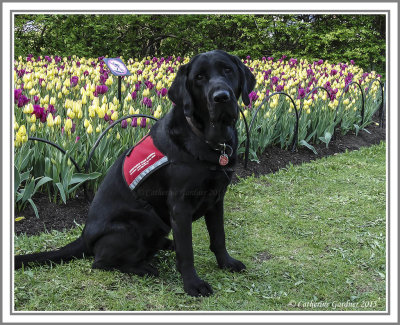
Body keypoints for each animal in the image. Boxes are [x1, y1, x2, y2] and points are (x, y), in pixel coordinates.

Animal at [15, 48, 256, 296]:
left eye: (227, 70)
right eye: (199, 77)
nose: (221, 97)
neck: (210, 140)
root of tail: (84, 235)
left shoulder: (217, 199)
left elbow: (219, 236)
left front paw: (227, 263)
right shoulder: (180, 206)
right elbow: (186, 251)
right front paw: (192, 283)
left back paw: (165, 246)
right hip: (145, 218)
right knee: (100, 261)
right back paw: (145, 268)